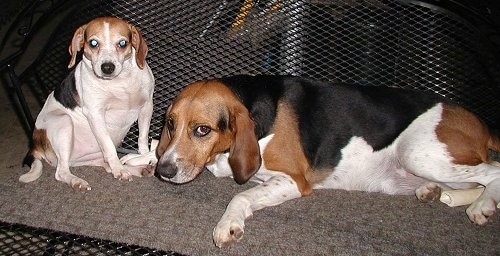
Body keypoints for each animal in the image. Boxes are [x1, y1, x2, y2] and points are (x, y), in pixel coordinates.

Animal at [19, 17, 155, 189]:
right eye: (93, 43)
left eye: (123, 43)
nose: (107, 67)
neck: (120, 82)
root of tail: (35, 143)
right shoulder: (95, 114)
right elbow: (110, 147)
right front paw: (120, 171)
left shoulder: (146, 107)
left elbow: (142, 138)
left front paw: (143, 156)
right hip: (64, 122)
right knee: (61, 172)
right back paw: (78, 181)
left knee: (104, 164)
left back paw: (138, 169)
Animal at [154, 74, 498, 248]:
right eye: (170, 123)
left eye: (202, 130)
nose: (164, 172)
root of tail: (480, 121)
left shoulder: (293, 180)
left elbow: (241, 195)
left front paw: (228, 224)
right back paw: (434, 192)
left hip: (415, 152)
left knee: (492, 171)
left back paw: (482, 206)